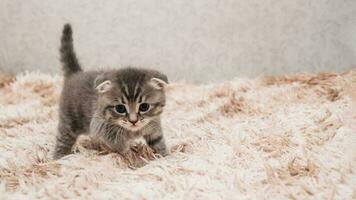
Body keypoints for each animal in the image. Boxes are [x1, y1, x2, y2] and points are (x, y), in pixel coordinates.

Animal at [53, 23, 169, 159]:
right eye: (120, 108)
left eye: (144, 106)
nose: (133, 121)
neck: (133, 131)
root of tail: (76, 74)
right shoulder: (98, 124)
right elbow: (116, 141)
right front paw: (129, 153)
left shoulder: (153, 126)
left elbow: (158, 142)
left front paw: (166, 157)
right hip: (69, 121)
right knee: (63, 139)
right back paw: (60, 157)